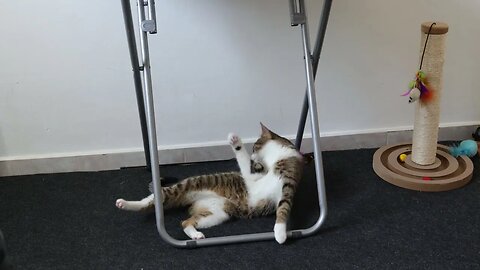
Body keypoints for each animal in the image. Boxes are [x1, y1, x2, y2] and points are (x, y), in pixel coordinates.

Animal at [115, 124, 304, 245]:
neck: (277, 159)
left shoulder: (289, 185)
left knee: (185, 222)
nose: (252, 155)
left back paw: (195, 234)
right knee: (156, 197)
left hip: (218, 212)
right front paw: (235, 141)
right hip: (191, 185)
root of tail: (192, 200)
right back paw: (126, 203)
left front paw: (280, 233)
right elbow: (245, 166)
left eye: (255, 146)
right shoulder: (252, 174)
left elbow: (284, 207)